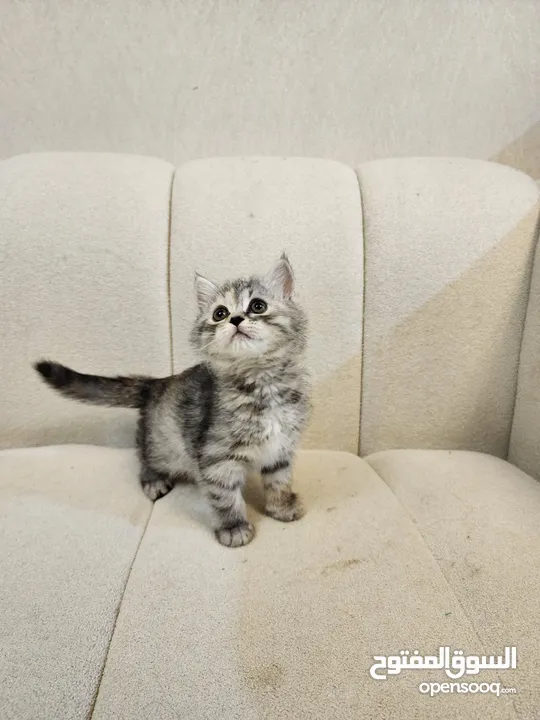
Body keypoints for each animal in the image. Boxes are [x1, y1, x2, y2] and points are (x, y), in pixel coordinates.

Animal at [33, 253, 310, 544]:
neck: (262, 383)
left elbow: (279, 481)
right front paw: (233, 527)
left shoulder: (281, 448)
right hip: (165, 445)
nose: (235, 319)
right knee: (144, 456)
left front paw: (282, 507)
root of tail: (158, 382)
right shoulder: (215, 458)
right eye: (220, 313)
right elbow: (225, 497)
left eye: (258, 306)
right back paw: (153, 480)